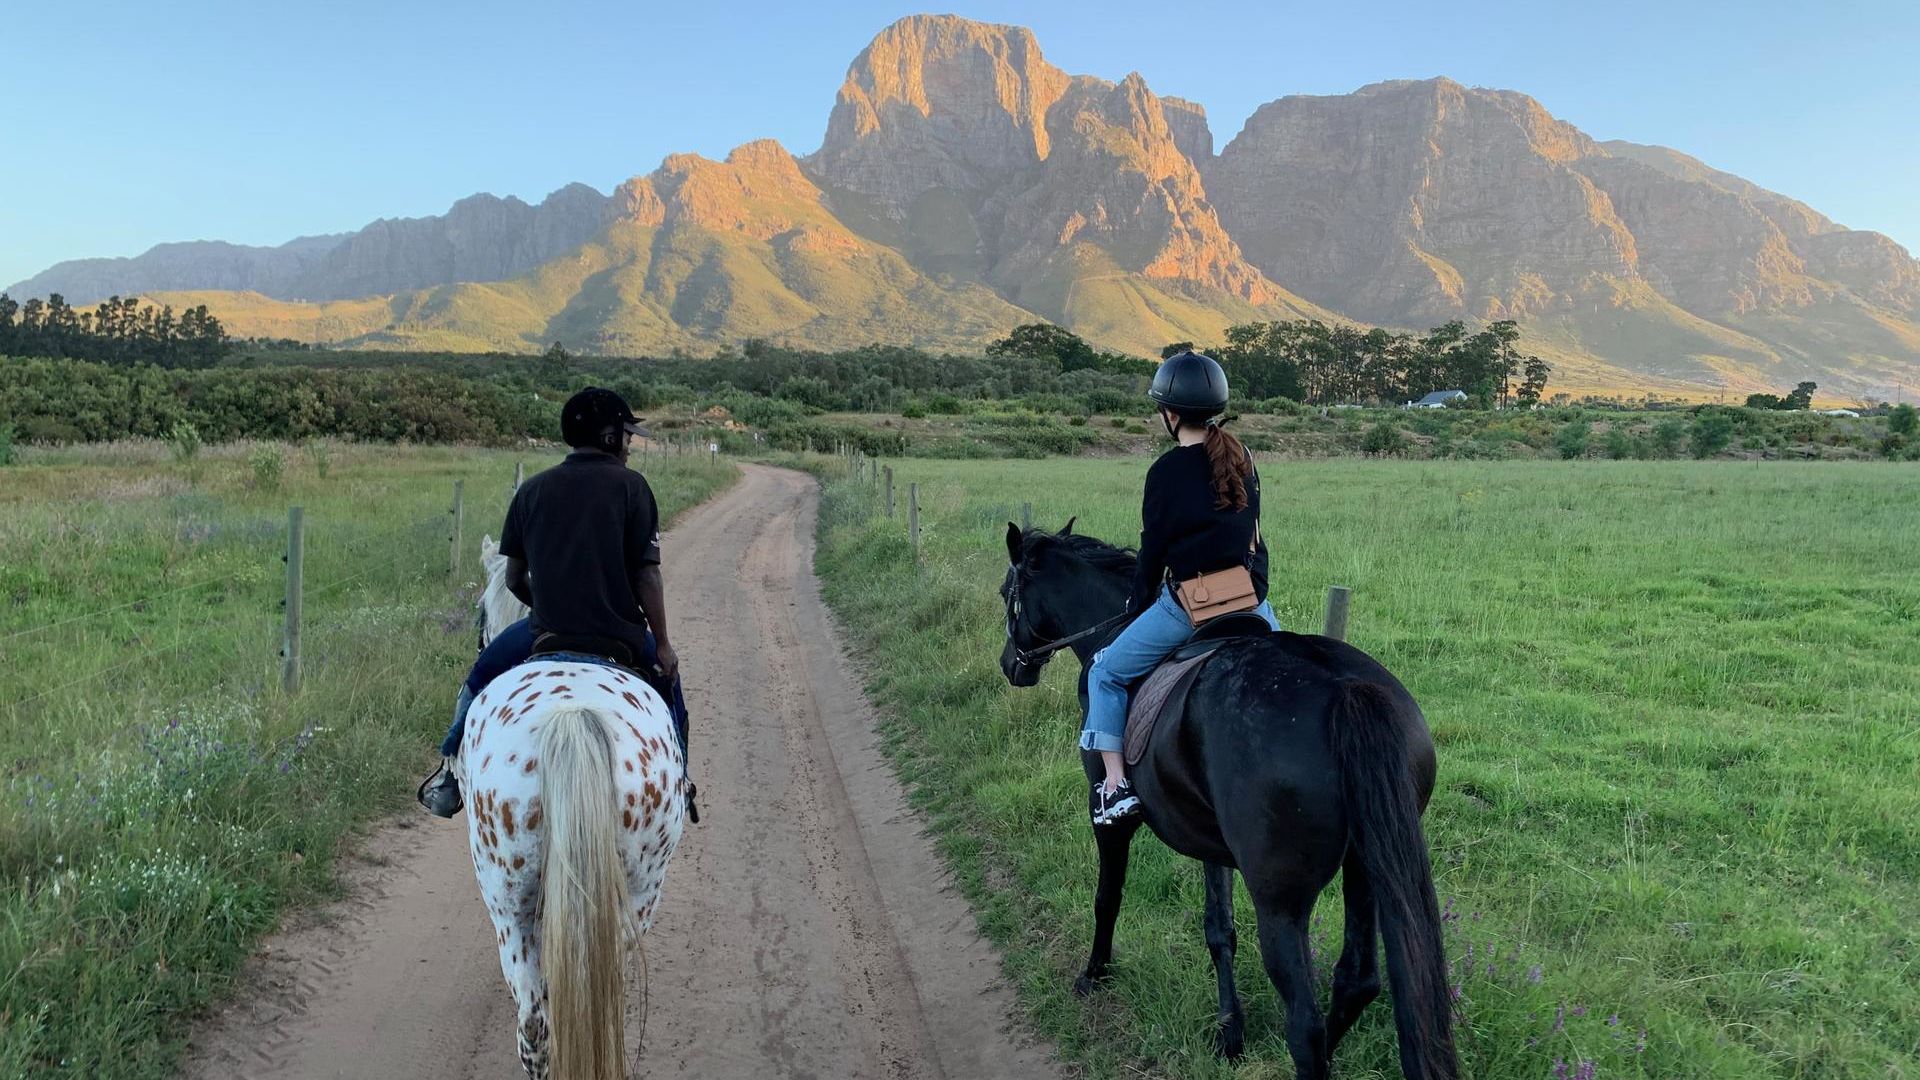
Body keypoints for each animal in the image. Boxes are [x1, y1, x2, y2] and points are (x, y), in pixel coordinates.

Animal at [1006, 522, 1451, 1076]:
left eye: (1007, 594)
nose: (1011, 666)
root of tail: (1345, 690)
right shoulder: (1209, 840)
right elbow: (1219, 929)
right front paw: (1229, 1032)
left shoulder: (1104, 812)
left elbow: (1107, 897)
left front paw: (1095, 974)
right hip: (1365, 870)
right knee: (1357, 980)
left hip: (1280, 901)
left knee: (1304, 1024)